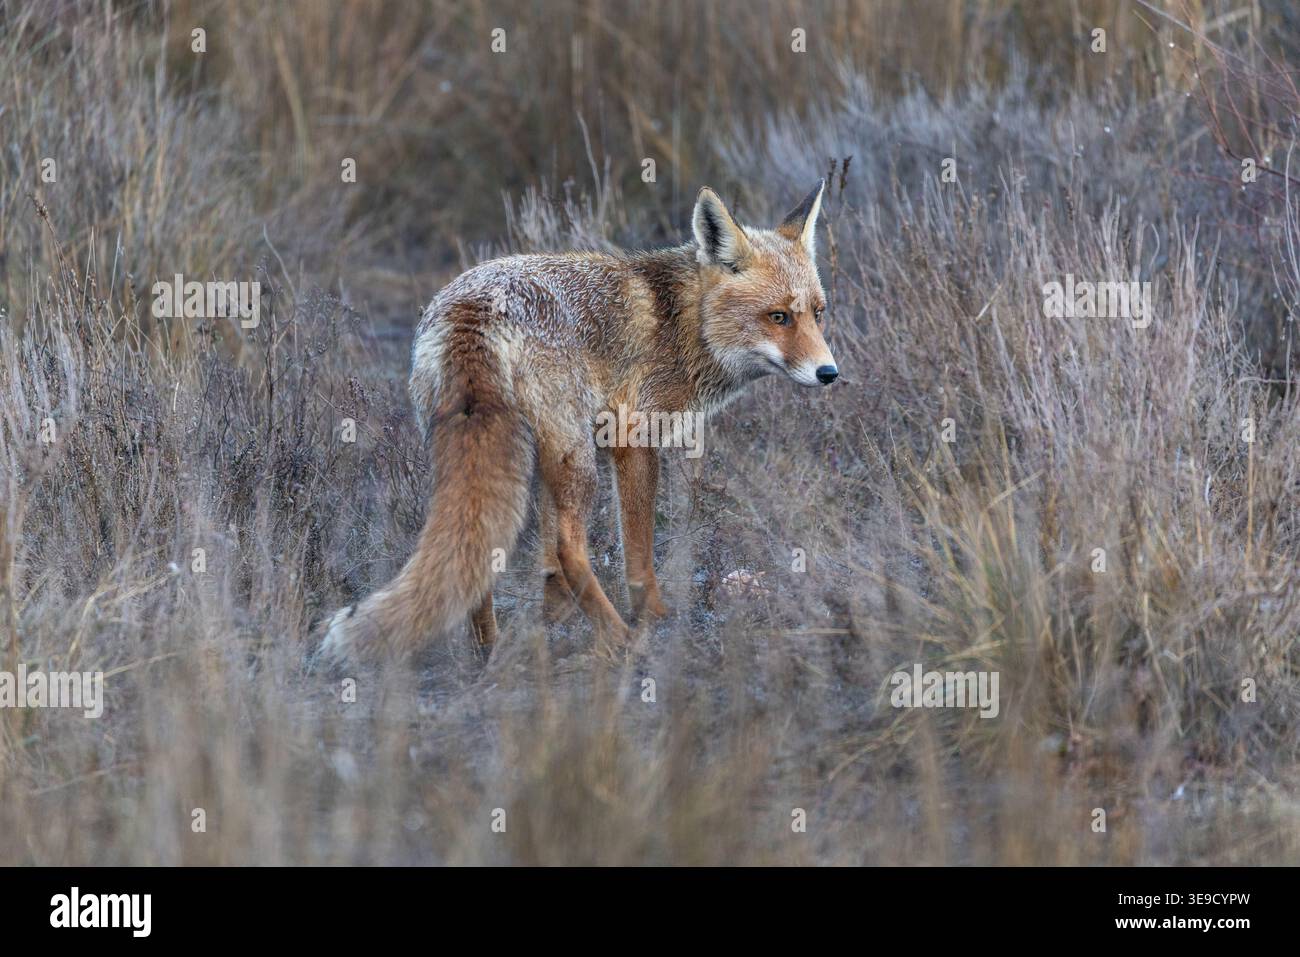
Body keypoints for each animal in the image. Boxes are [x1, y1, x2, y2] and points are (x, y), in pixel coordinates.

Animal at [319, 180, 838, 662]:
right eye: (778, 317)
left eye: (817, 314)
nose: (829, 372)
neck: (683, 322)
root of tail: (471, 308)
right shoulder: (632, 435)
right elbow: (636, 555)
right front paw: (654, 619)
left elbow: (548, 568)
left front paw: (552, 627)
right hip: (577, 459)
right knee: (572, 548)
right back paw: (621, 640)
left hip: (515, 455)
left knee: (488, 555)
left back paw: (489, 653)